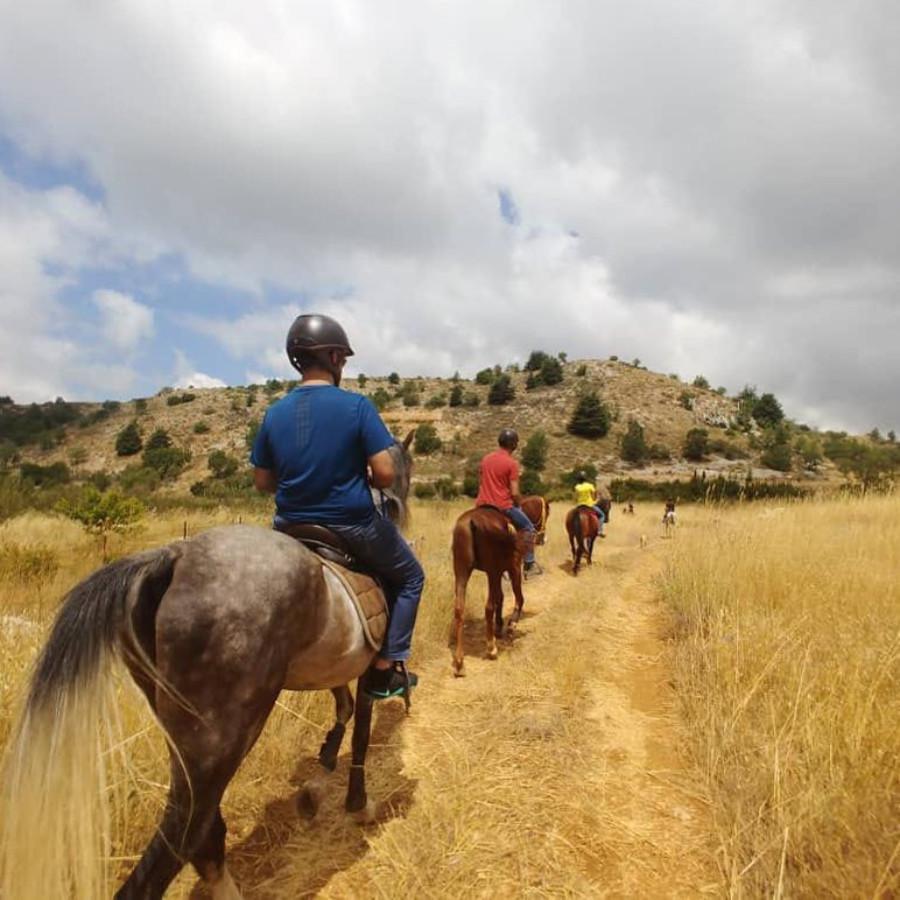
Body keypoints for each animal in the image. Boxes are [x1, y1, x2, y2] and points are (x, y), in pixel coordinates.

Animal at [0, 436, 414, 900]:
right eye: (404, 473)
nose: (399, 508)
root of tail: (172, 556)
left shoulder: (338, 670)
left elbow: (342, 709)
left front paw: (323, 761)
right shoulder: (368, 669)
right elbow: (361, 735)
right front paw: (358, 805)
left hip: (179, 729)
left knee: (203, 832)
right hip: (223, 735)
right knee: (179, 841)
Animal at [450, 506, 528, 676]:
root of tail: (471, 521)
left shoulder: (497, 572)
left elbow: (500, 597)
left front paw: (499, 626)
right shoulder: (513, 567)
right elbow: (518, 597)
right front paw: (511, 625)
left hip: (461, 571)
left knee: (459, 609)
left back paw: (459, 662)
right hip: (493, 571)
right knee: (488, 607)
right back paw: (491, 648)